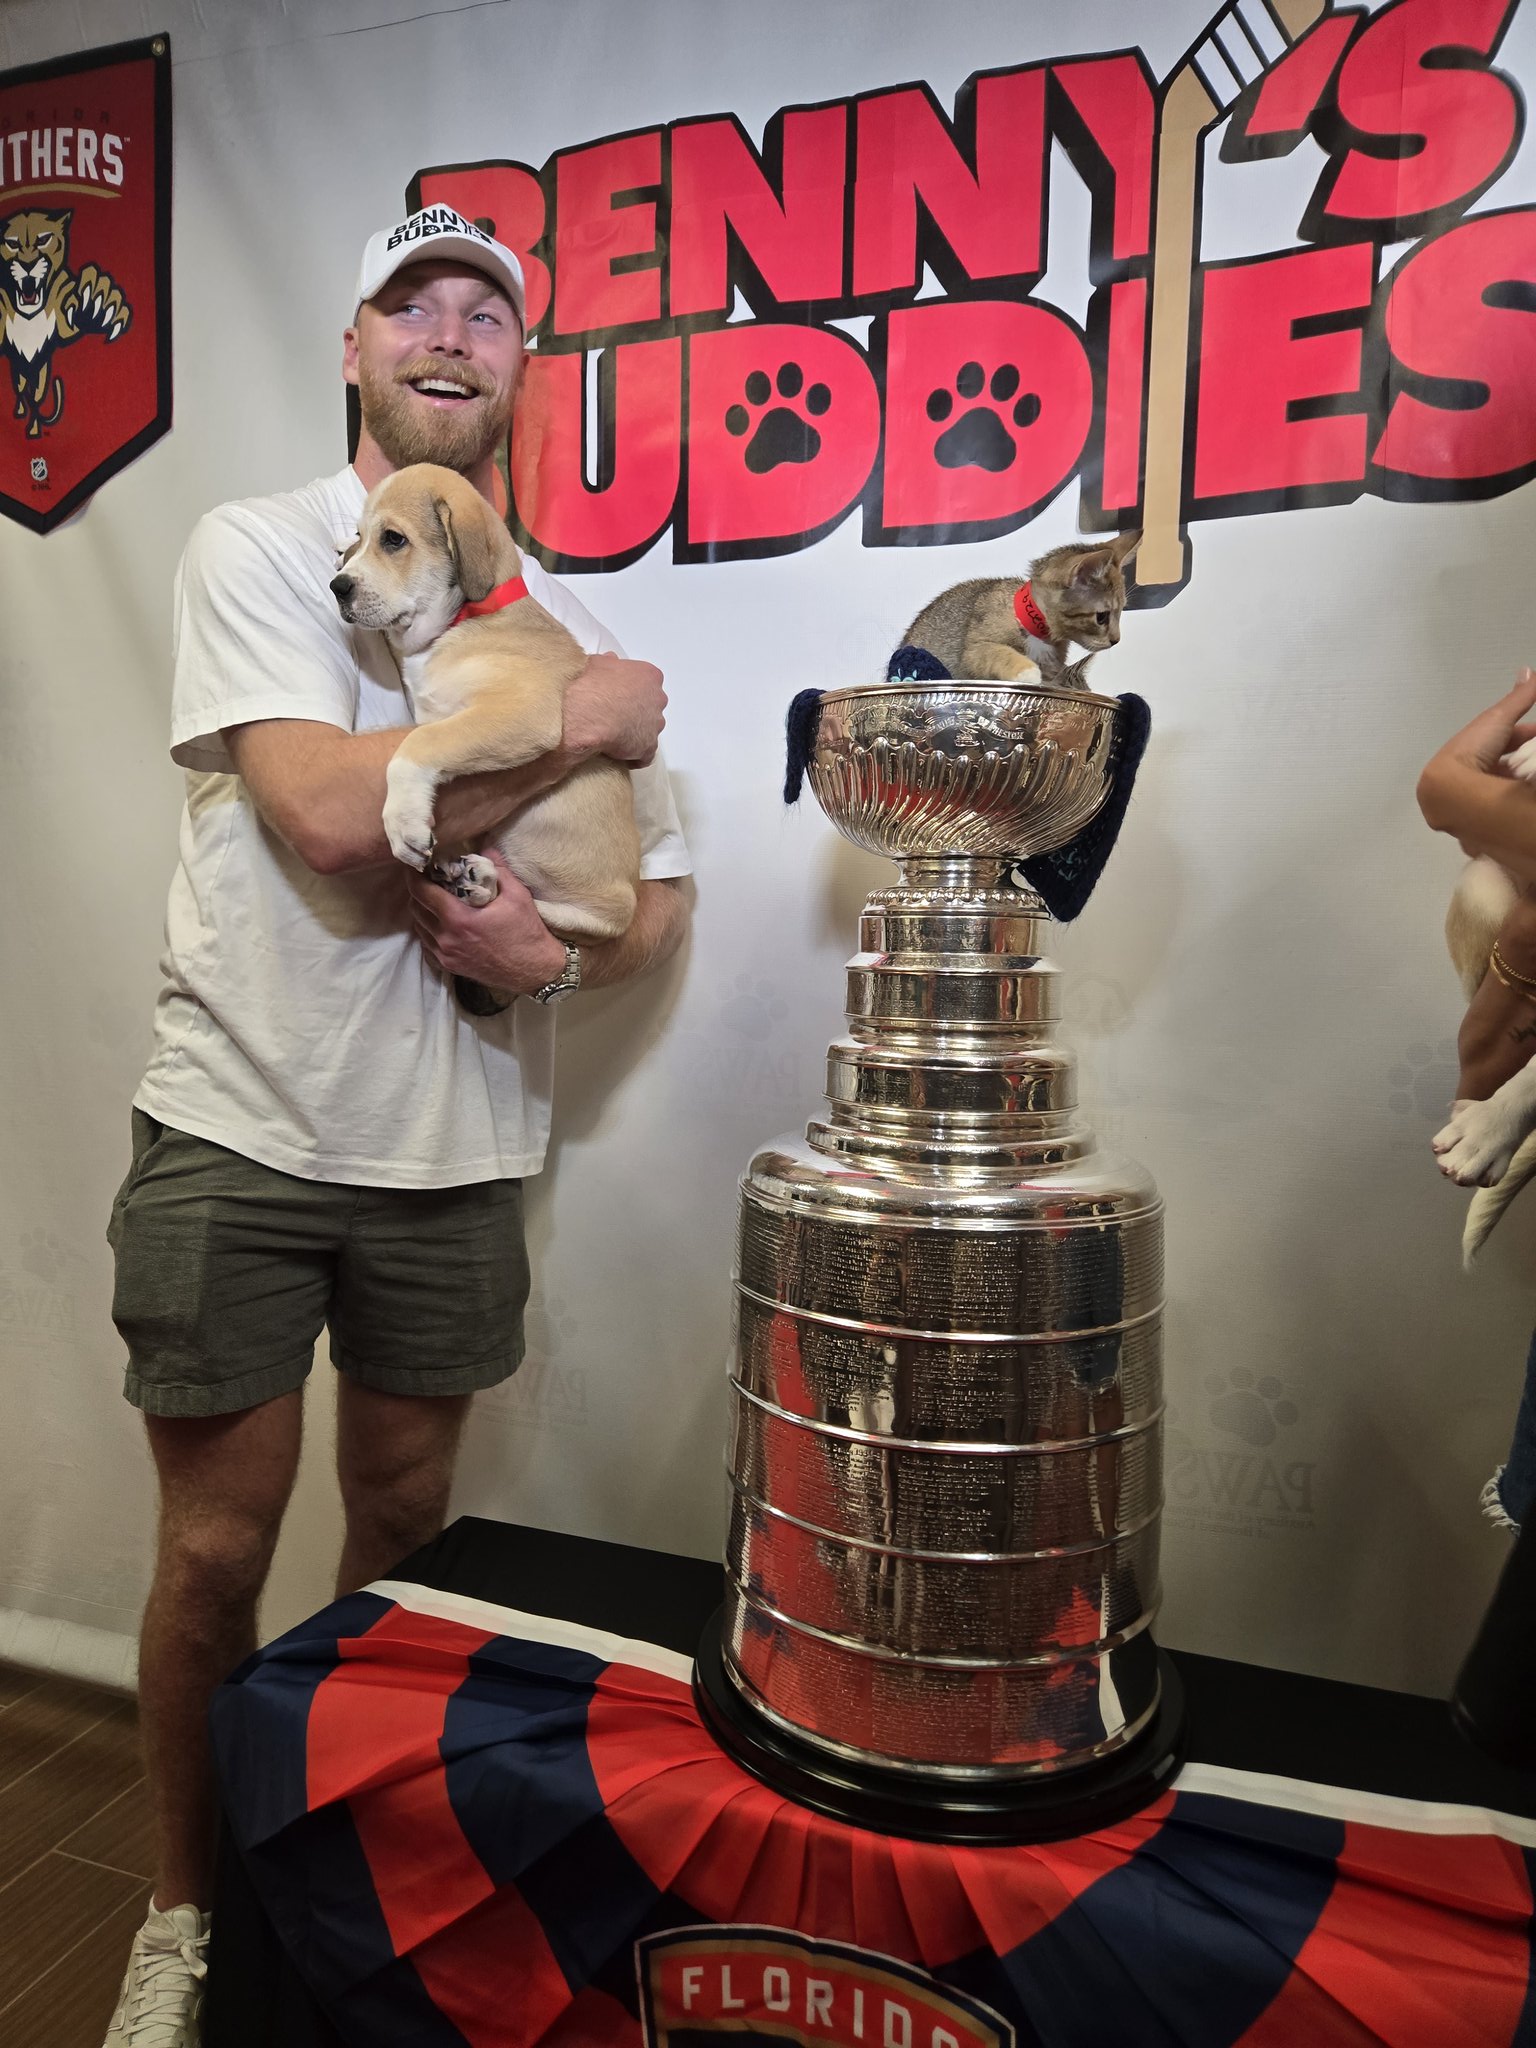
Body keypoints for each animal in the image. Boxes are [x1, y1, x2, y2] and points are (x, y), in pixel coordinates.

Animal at [331, 464, 640, 1003]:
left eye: (393, 539)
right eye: (359, 538)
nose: (337, 586)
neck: (464, 619)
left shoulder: (522, 712)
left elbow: (414, 748)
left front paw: (402, 821)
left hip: (607, 909)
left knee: (561, 919)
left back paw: (484, 886)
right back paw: (478, 877)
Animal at [897, 530, 1141, 688]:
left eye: (1122, 612)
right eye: (1102, 617)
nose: (1116, 640)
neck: (1036, 628)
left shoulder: (1055, 670)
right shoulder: (974, 650)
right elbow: (999, 652)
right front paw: (1028, 671)